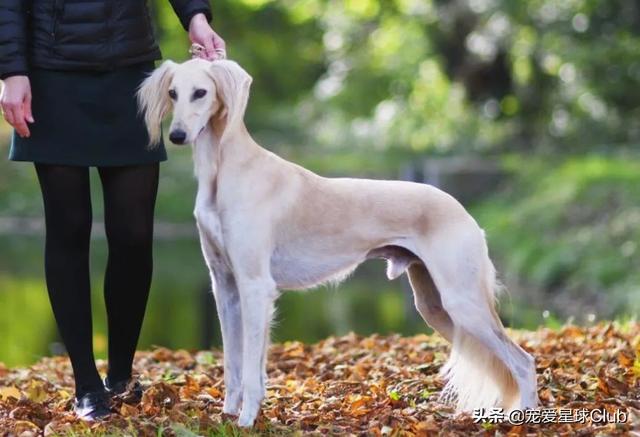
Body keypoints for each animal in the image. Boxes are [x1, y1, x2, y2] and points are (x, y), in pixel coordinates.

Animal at [138, 58, 536, 426]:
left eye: (200, 93)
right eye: (173, 93)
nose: (177, 135)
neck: (225, 171)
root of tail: (465, 213)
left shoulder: (255, 285)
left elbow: (251, 367)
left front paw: (247, 420)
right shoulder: (225, 286)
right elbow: (233, 364)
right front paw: (228, 415)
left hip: (462, 301)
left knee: (524, 361)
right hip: (434, 306)